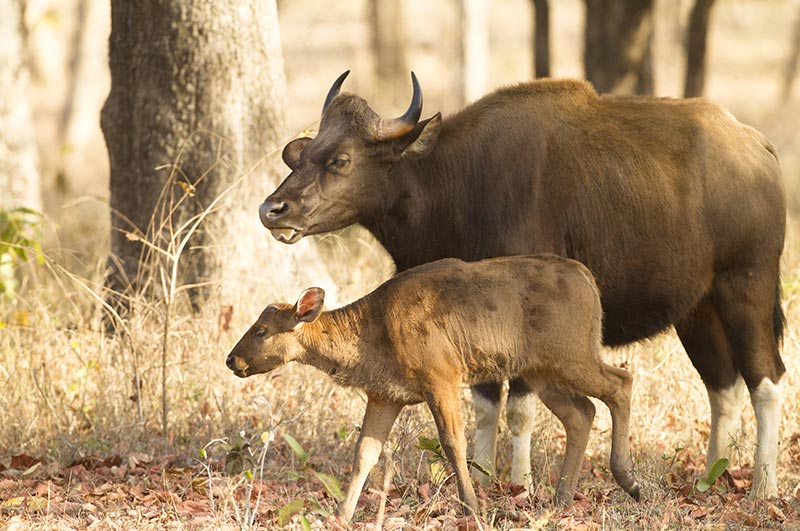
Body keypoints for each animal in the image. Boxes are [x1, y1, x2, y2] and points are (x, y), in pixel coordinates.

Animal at [228, 255, 640, 524]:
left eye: (261, 330)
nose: (233, 360)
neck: (370, 342)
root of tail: (588, 280)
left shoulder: (440, 374)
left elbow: (454, 443)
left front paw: (472, 508)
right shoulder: (385, 394)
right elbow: (364, 453)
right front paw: (341, 515)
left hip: (571, 354)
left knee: (621, 383)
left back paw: (628, 480)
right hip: (541, 369)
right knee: (582, 412)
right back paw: (562, 497)